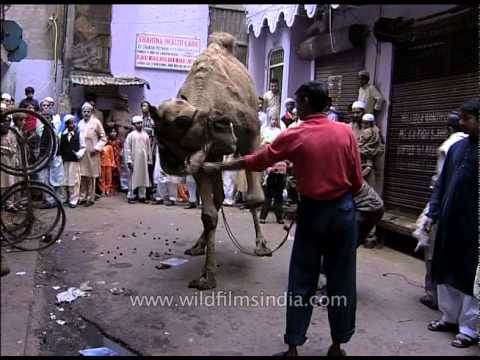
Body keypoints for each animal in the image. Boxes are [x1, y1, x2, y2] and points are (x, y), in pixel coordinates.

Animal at [148, 31, 272, 290]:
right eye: (181, 121)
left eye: (186, 115)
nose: (223, 123)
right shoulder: (201, 156)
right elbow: (208, 214)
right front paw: (207, 276)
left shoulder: (251, 134)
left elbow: (255, 197)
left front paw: (262, 245)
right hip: (213, 155)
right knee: (217, 199)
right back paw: (199, 245)